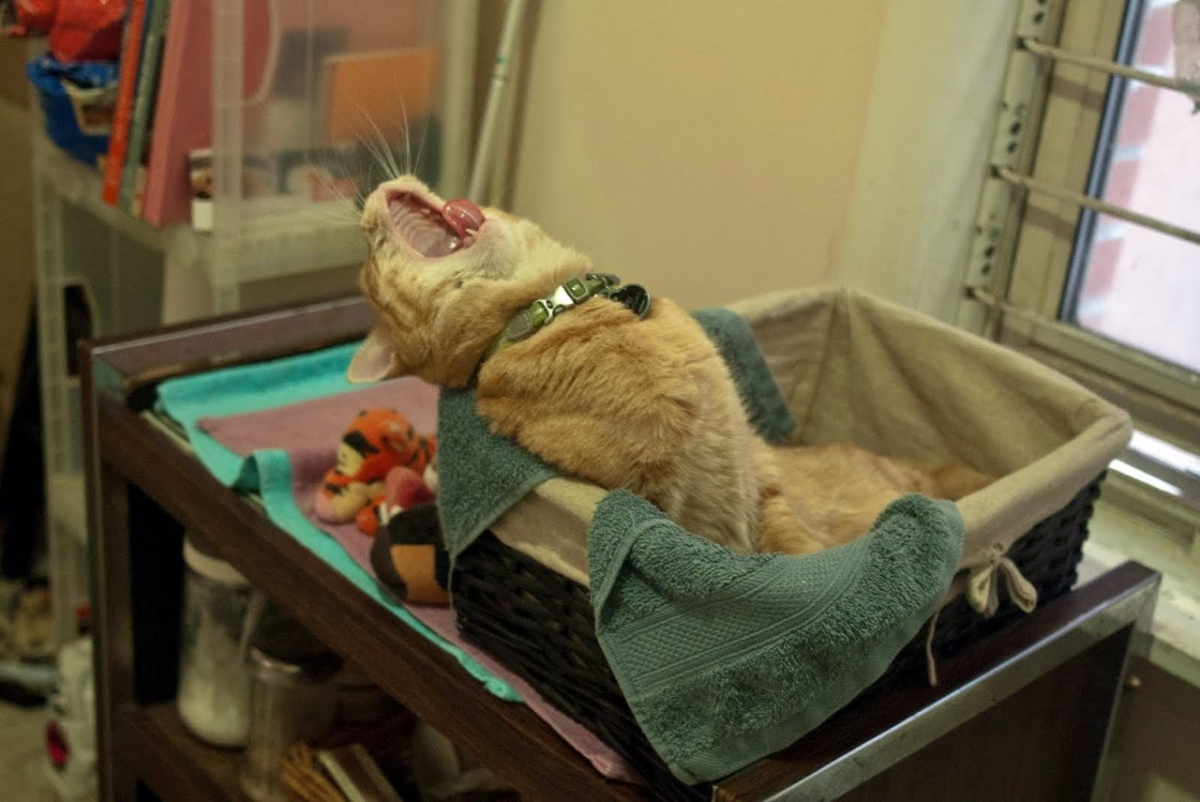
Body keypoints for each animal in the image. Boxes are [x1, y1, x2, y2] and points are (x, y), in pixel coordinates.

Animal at [348, 175, 990, 555]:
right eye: (373, 261)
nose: (367, 210)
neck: (562, 308)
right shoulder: (657, 498)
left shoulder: (762, 477)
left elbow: (792, 541)